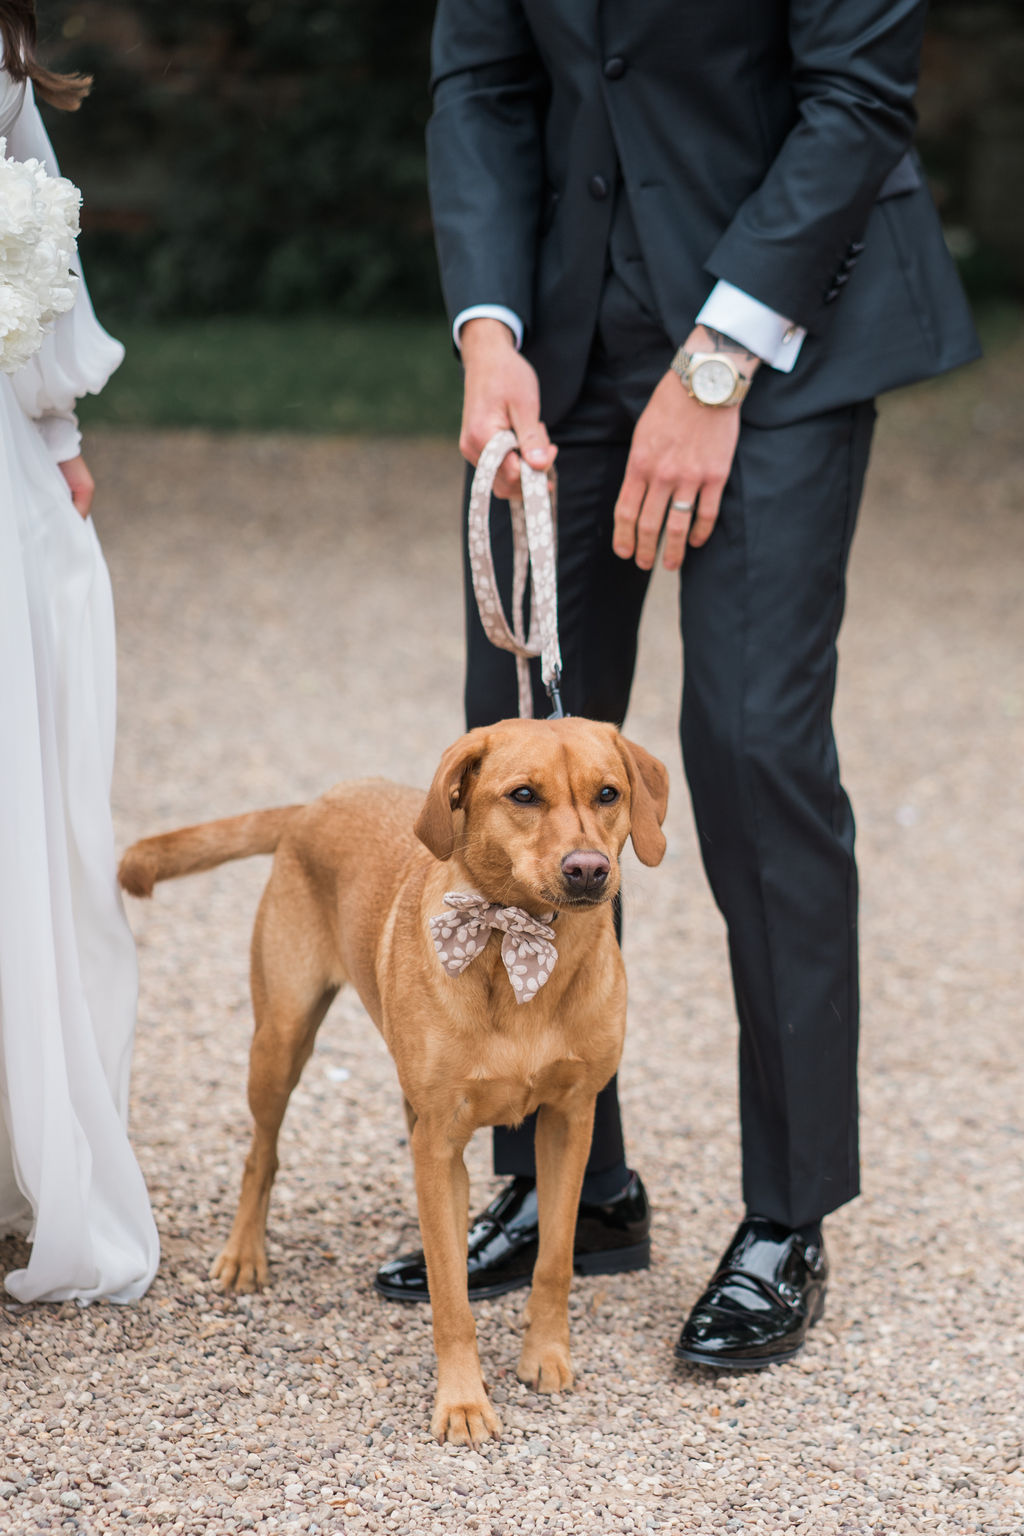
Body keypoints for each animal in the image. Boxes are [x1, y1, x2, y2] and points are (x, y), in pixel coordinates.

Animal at [120, 715, 669, 1437]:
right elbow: (451, 1297)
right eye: (523, 795)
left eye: (609, 794)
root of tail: (320, 800)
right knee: (260, 1154)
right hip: (280, 1042)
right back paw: (244, 1254)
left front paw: (546, 1354)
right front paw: (462, 1400)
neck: (519, 944)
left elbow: (553, 1261)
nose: (587, 870)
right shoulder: (438, 1143)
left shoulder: (569, 1120)